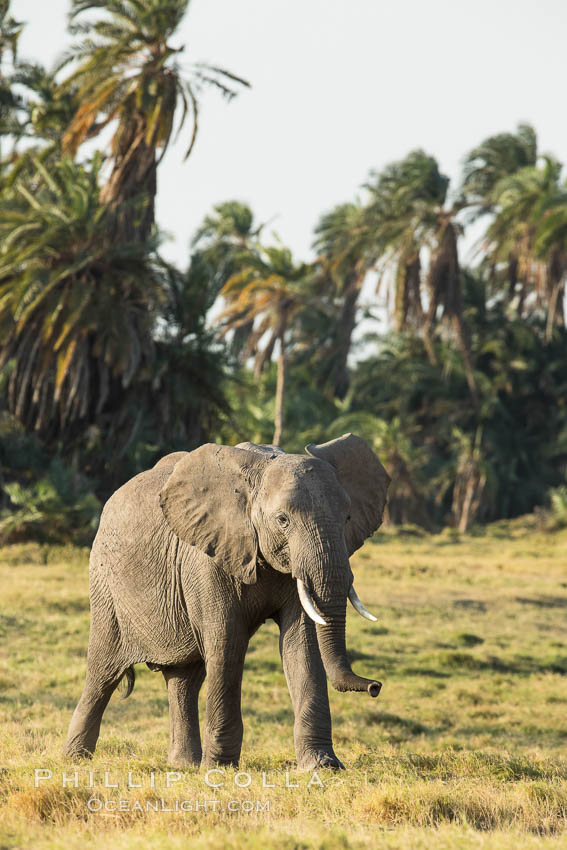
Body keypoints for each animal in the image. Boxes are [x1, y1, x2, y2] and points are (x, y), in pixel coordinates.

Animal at [62, 434, 390, 764]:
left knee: (184, 679)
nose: (375, 686)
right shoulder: (207, 558)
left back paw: (184, 765)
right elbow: (227, 642)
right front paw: (219, 767)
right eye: (282, 520)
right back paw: (74, 758)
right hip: (105, 586)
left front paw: (322, 765)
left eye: (347, 517)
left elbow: (302, 643)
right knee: (102, 671)